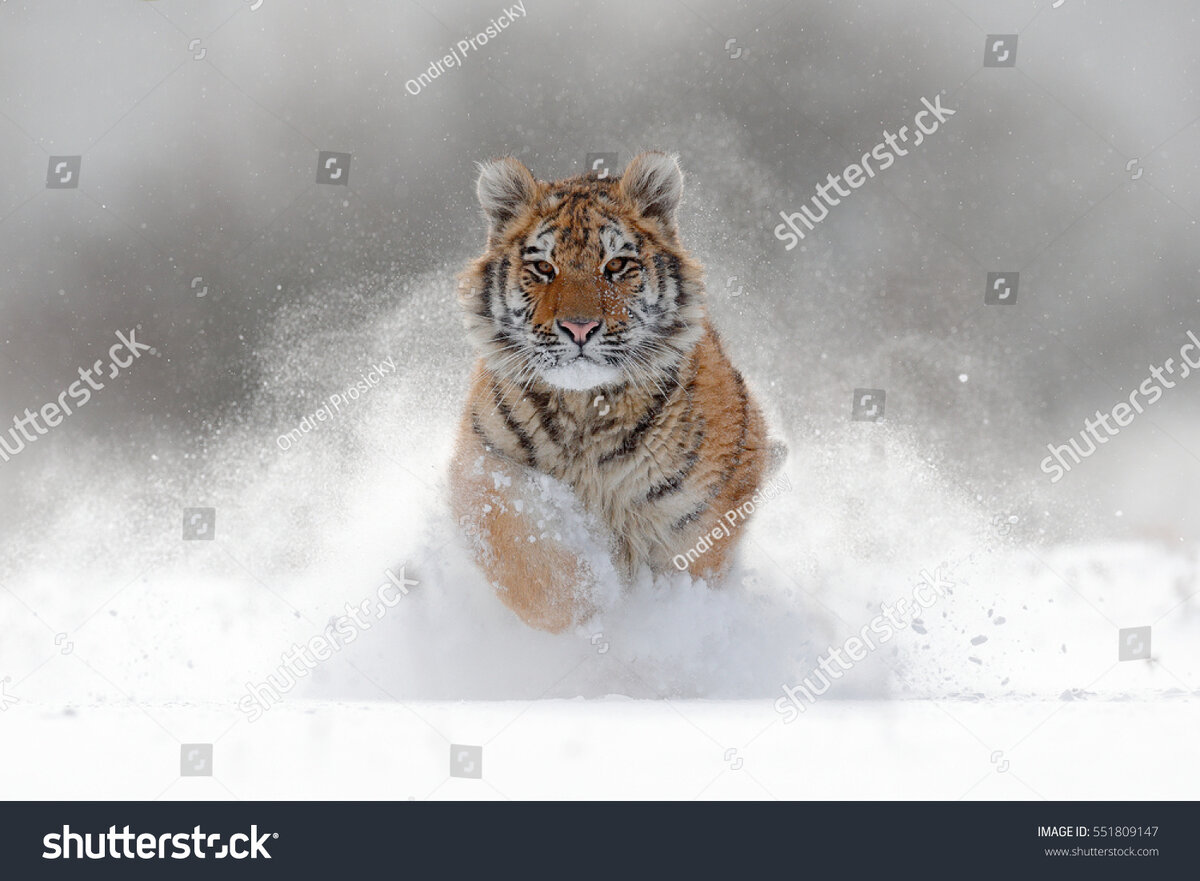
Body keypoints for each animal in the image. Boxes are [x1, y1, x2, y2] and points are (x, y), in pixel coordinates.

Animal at [451, 153, 777, 633]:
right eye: (544, 268)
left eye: (617, 265)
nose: (579, 327)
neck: (586, 409)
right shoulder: (483, 465)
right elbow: (526, 557)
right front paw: (590, 603)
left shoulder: (702, 512)